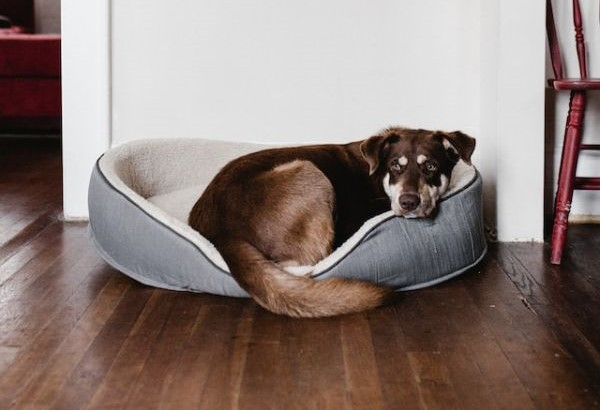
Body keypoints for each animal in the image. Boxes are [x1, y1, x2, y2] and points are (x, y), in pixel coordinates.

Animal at [190, 126, 476, 318]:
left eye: (430, 166)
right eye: (396, 165)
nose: (409, 202)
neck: (378, 177)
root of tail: (222, 233)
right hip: (310, 172)